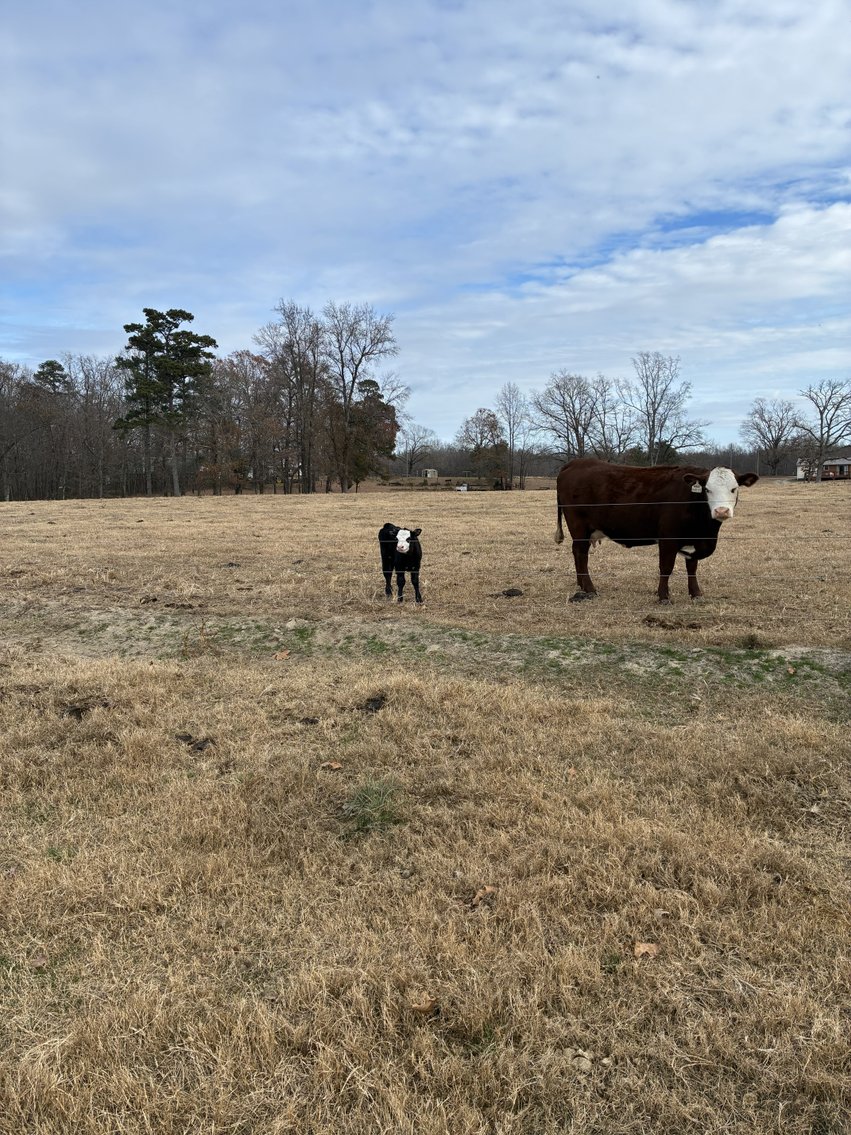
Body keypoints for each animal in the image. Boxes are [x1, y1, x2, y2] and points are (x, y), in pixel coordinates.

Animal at [554, 458, 759, 603]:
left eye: (734, 489)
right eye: (707, 489)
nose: (721, 511)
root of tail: (577, 462)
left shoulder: (692, 539)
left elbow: (692, 567)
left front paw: (696, 593)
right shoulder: (668, 537)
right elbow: (666, 567)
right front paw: (663, 596)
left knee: (577, 553)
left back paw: (581, 586)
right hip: (579, 527)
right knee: (581, 554)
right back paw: (589, 588)